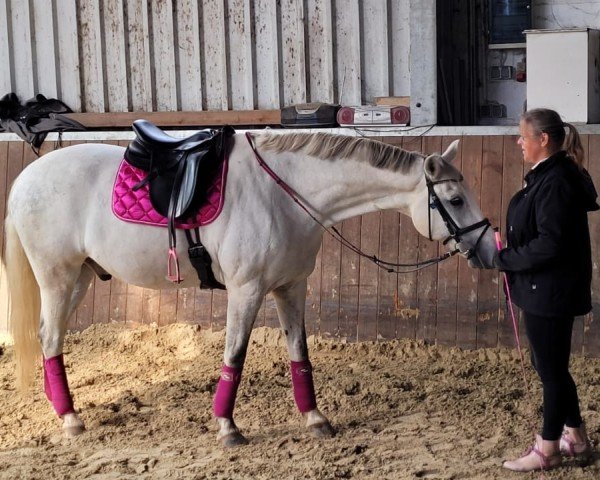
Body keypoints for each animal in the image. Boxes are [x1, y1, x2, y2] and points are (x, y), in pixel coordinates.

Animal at [2, 130, 494, 446]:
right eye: (454, 200)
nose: (489, 248)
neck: (285, 194)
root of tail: (25, 179)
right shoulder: (247, 289)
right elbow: (234, 356)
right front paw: (227, 427)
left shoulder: (291, 287)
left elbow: (300, 353)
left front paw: (315, 418)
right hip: (58, 277)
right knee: (50, 337)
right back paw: (69, 419)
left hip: (81, 277)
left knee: (49, 339)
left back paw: (61, 408)